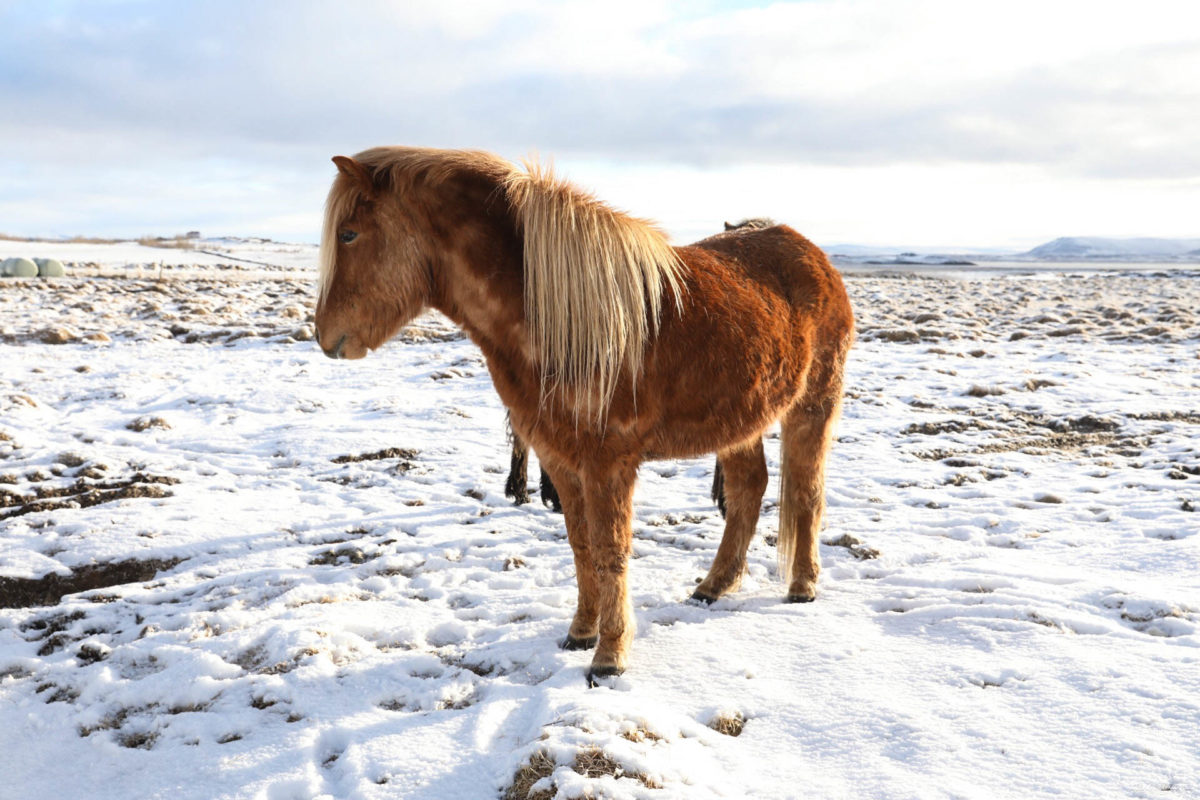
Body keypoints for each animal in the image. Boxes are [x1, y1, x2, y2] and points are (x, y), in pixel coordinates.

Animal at [314, 145, 859, 681]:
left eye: (349, 233)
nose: (325, 337)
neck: (561, 322)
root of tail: (811, 253)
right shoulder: (559, 457)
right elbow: (581, 547)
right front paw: (580, 633)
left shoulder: (608, 463)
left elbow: (609, 549)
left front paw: (610, 656)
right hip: (739, 421)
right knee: (749, 490)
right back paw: (713, 586)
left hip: (813, 407)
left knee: (806, 491)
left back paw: (803, 586)